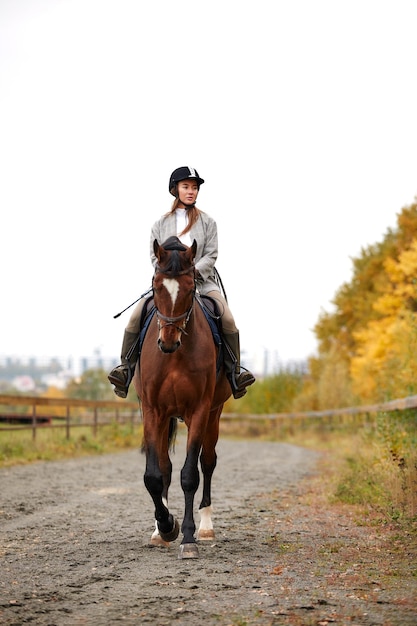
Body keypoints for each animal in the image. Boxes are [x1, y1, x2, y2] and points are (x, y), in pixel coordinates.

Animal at [133, 236, 231, 560]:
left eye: (190, 288)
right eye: (156, 286)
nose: (168, 341)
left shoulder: (199, 411)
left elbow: (190, 475)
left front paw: (187, 537)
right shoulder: (153, 411)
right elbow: (154, 475)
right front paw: (166, 527)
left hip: (214, 414)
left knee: (208, 463)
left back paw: (206, 528)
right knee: (165, 468)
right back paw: (159, 531)